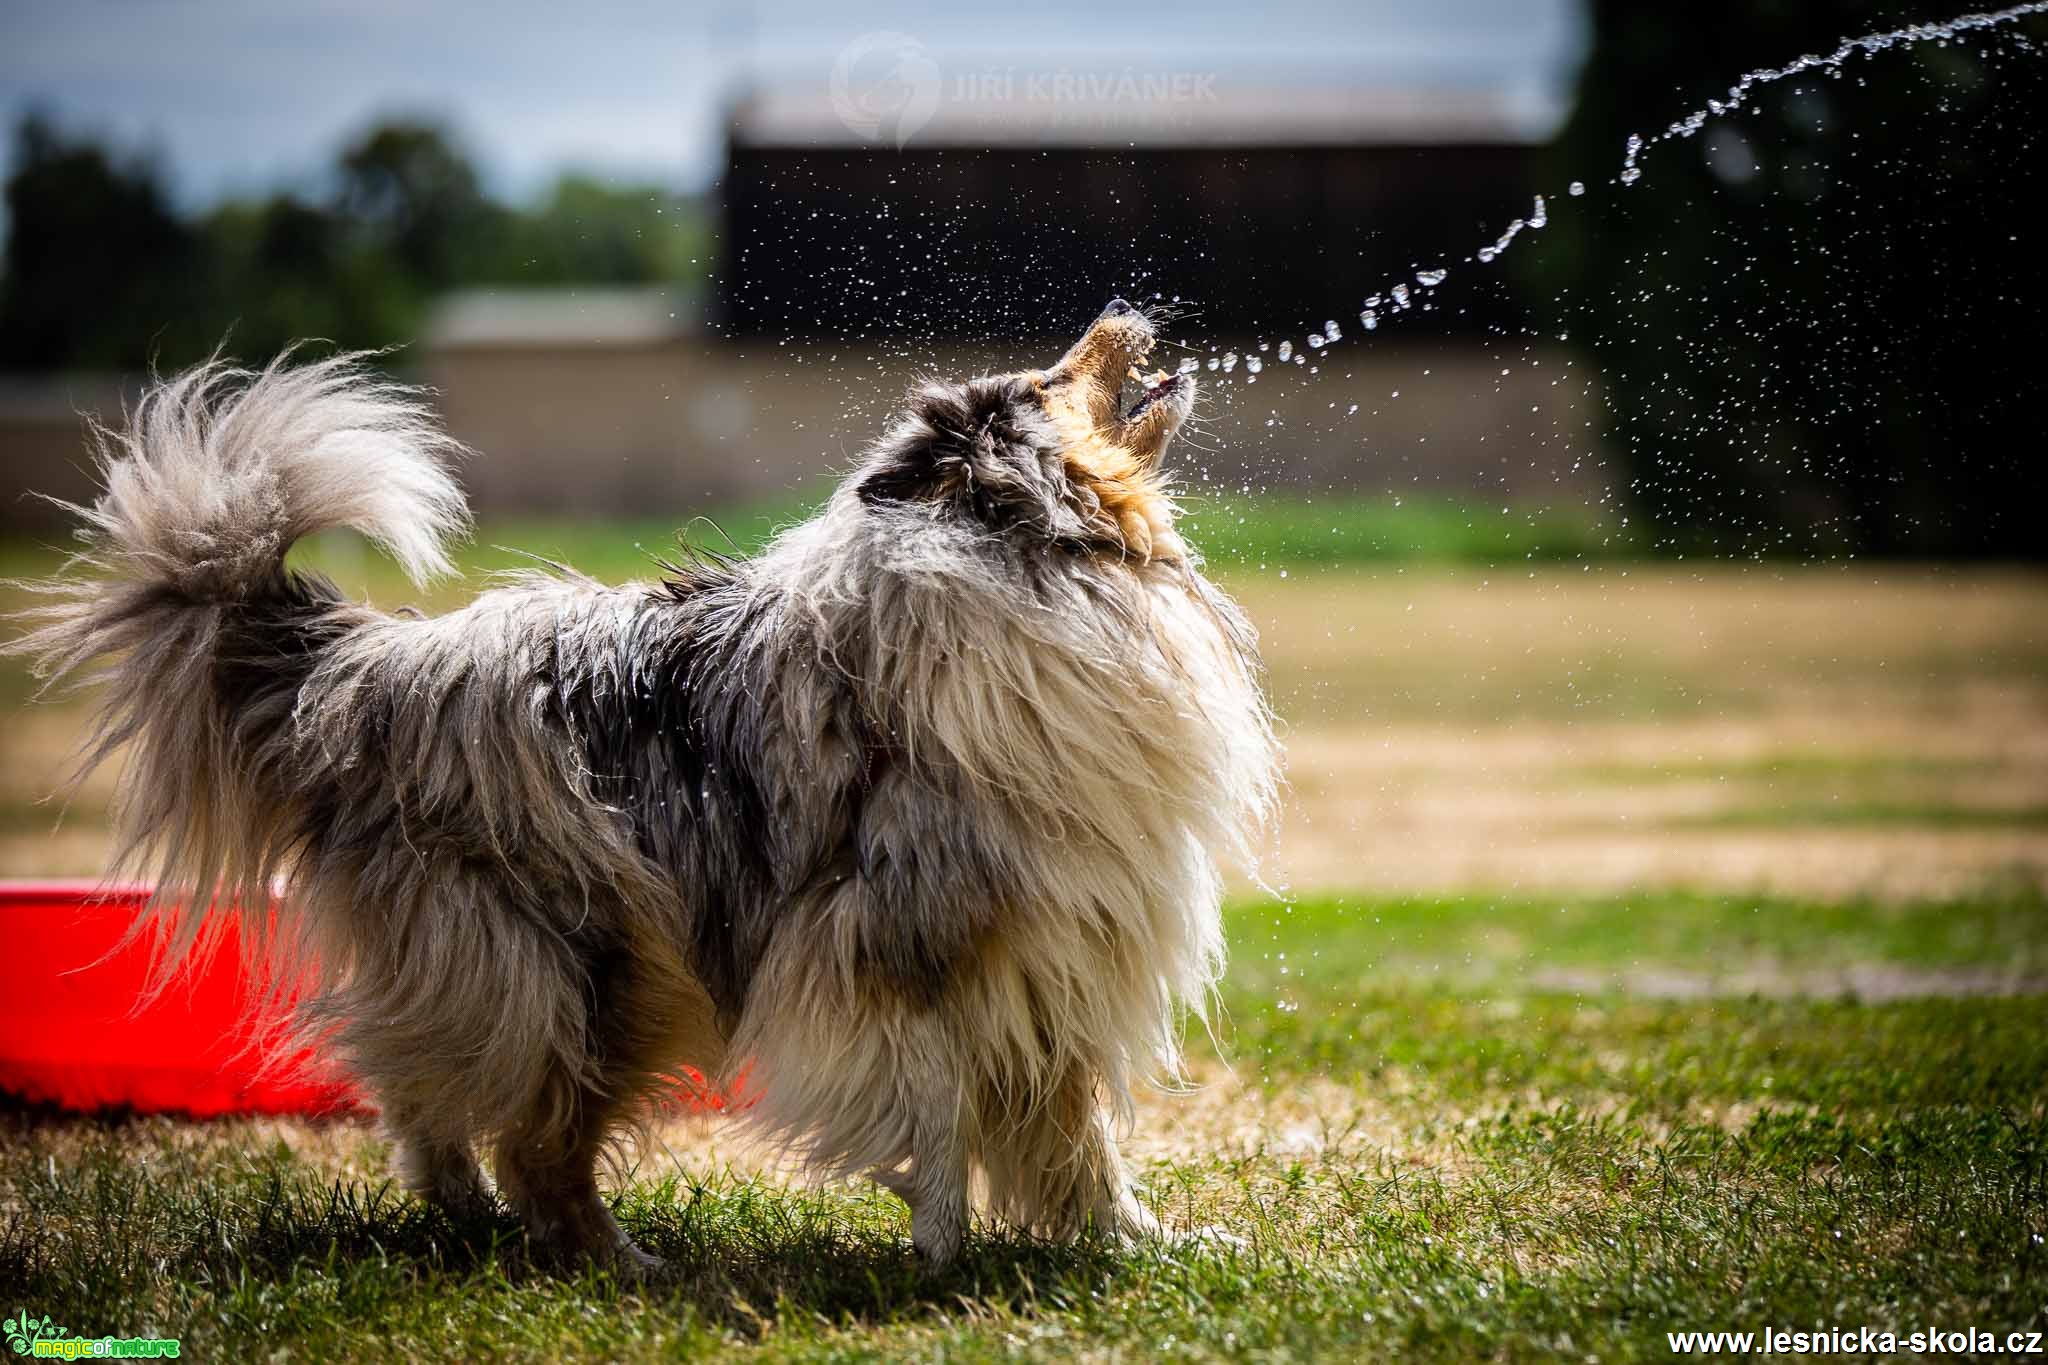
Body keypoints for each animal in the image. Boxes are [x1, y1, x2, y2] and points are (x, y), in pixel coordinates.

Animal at [8, 298, 1269, 1268]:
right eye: (1047, 379)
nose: (1125, 308)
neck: (1034, 553)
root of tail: (366, 665)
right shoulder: (902, 940)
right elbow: (936, 1106)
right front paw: (940, 1258)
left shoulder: (1058, 950)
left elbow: (1076, 1135)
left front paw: (1138, 1247)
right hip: (585, 968)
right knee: (529, 1142)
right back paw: (613, 1263)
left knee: (434, 1111)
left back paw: (480, 1228)